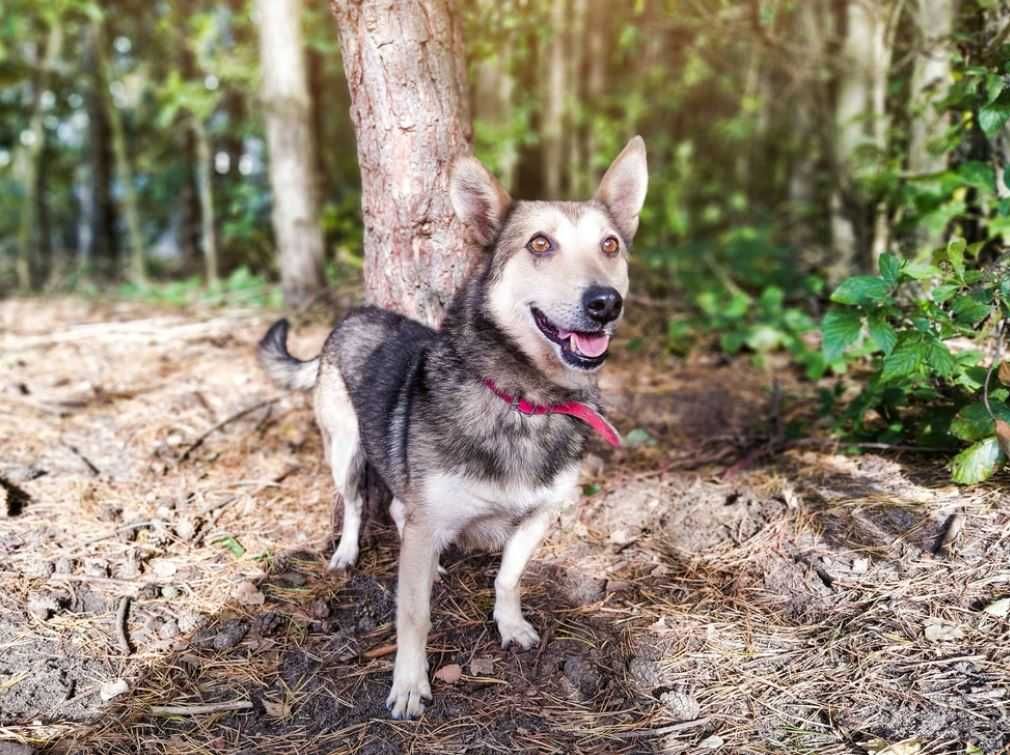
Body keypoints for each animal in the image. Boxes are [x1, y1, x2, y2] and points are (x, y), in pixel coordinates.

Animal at [258, 135, 646, 718]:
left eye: (610, 246)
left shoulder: (540, 515)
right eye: (539, 244)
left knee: (400, 511)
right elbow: (413, 614)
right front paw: (409, 683)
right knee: (357, 504)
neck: (524, 400)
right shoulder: (424, 523)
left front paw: (510, 624)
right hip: (346, 450)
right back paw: (348, 552)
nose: (605, 303)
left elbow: (508, 576)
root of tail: (347, 319)